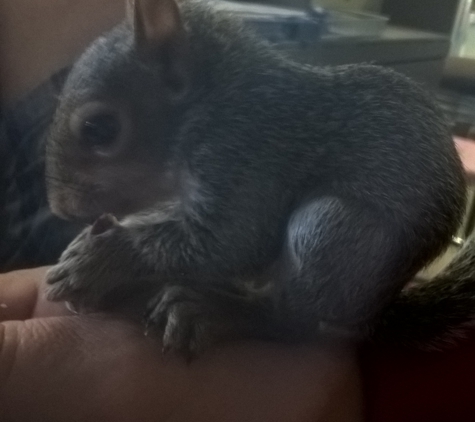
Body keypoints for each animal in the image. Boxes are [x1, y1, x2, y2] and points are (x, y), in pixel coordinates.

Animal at [44, 0, 468, 356]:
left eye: (100, 129)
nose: (60, 208)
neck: (211, 101)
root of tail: (376, 313)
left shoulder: (247, 152)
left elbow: (231, 240)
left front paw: (101, 259)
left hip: (332, 233)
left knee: (293, 323)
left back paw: (214, 308)